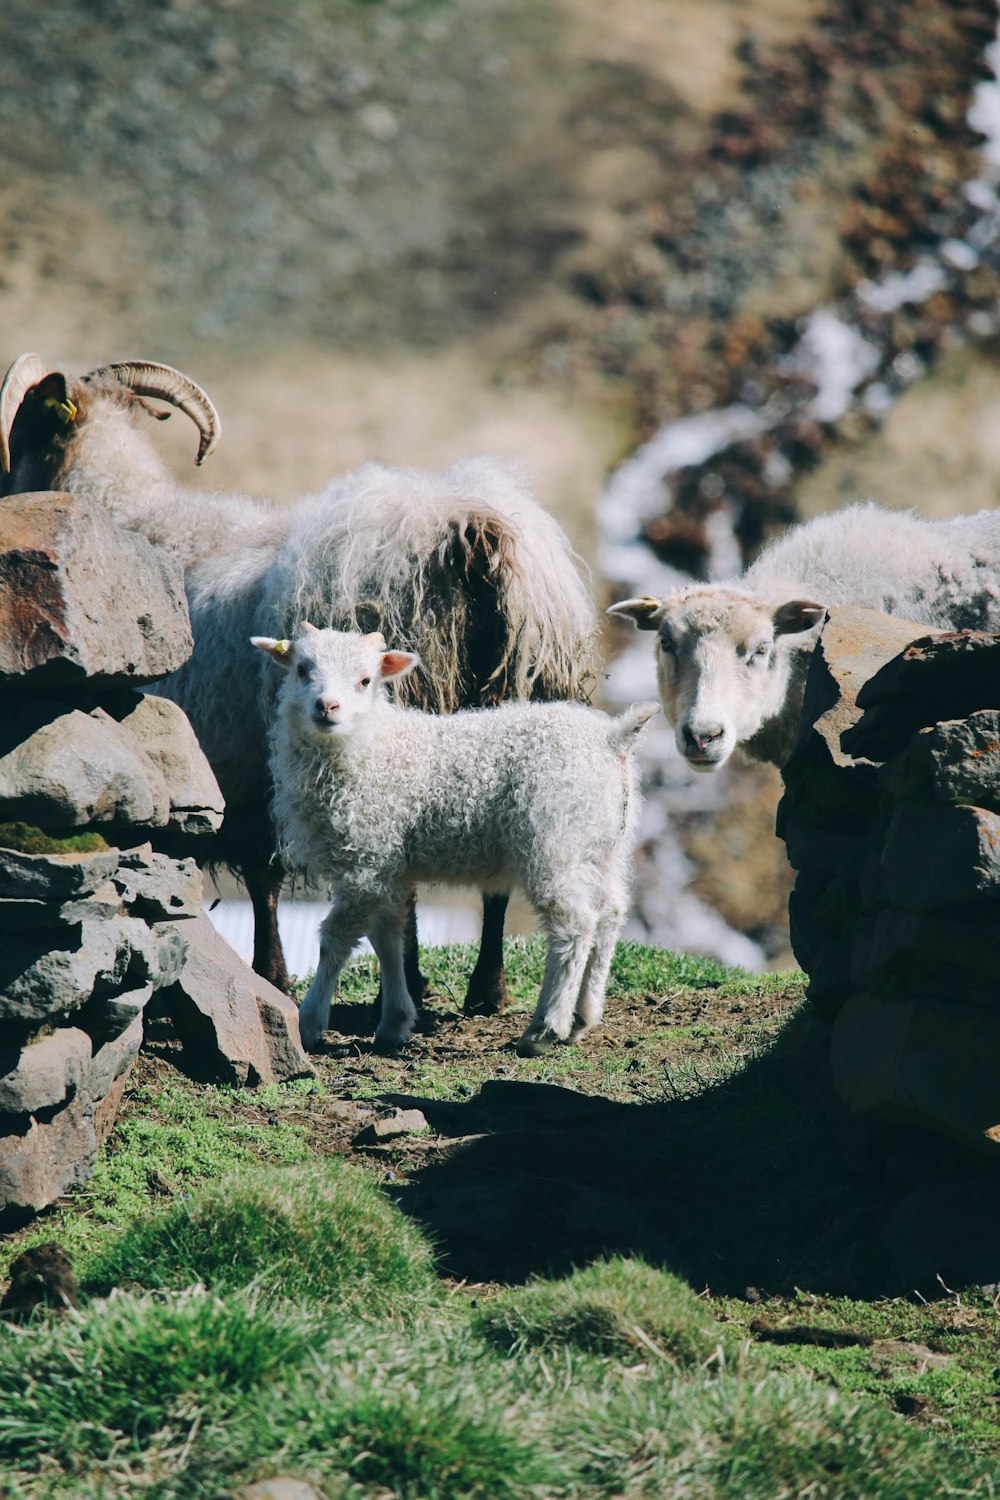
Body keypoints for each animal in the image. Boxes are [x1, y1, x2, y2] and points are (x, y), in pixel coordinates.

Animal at [0, 354, 593, 1008]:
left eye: (21, 430)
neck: (137, 517)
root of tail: (472, 530)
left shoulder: (246, 766)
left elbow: (264, 881)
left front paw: (271, 974)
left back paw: (409, 986)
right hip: (527, 702)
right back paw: (487, 990)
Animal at [254, 621, 656, 1056]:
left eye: (365, 680)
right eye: (301, 670)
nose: (327, 707)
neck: (372, 746)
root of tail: (611, 739)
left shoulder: (365, 858)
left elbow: (336, 939)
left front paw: (310, 1022)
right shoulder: (386, 867)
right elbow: (389, 938)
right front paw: (394, 1021)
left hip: (555, 844)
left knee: (574, 925)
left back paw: (546, 1028)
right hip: (602, 848)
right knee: (609, 916)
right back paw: (584, 1014)